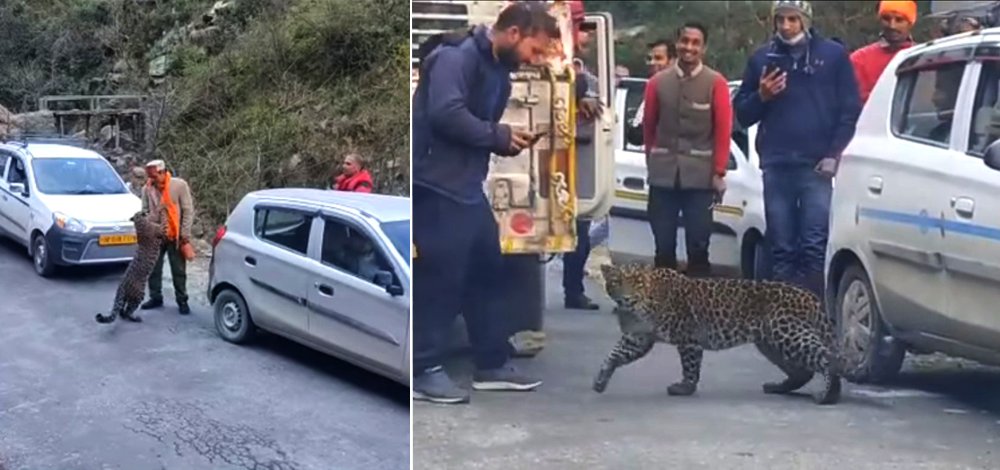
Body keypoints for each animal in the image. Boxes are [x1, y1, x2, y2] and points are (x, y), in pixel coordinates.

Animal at [592, 262, 844, 406]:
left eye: (636, 282)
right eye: (616, 282)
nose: (628, 299)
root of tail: (810, 295)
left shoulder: (688, 338)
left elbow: (690, 366)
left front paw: (685, 388)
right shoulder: (638, 339)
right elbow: (614, 355)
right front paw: (600, 381)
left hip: (787, 332)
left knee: (827, 358)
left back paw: (828, 396)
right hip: (770, 342)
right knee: (803, 371)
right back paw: (778, 387)